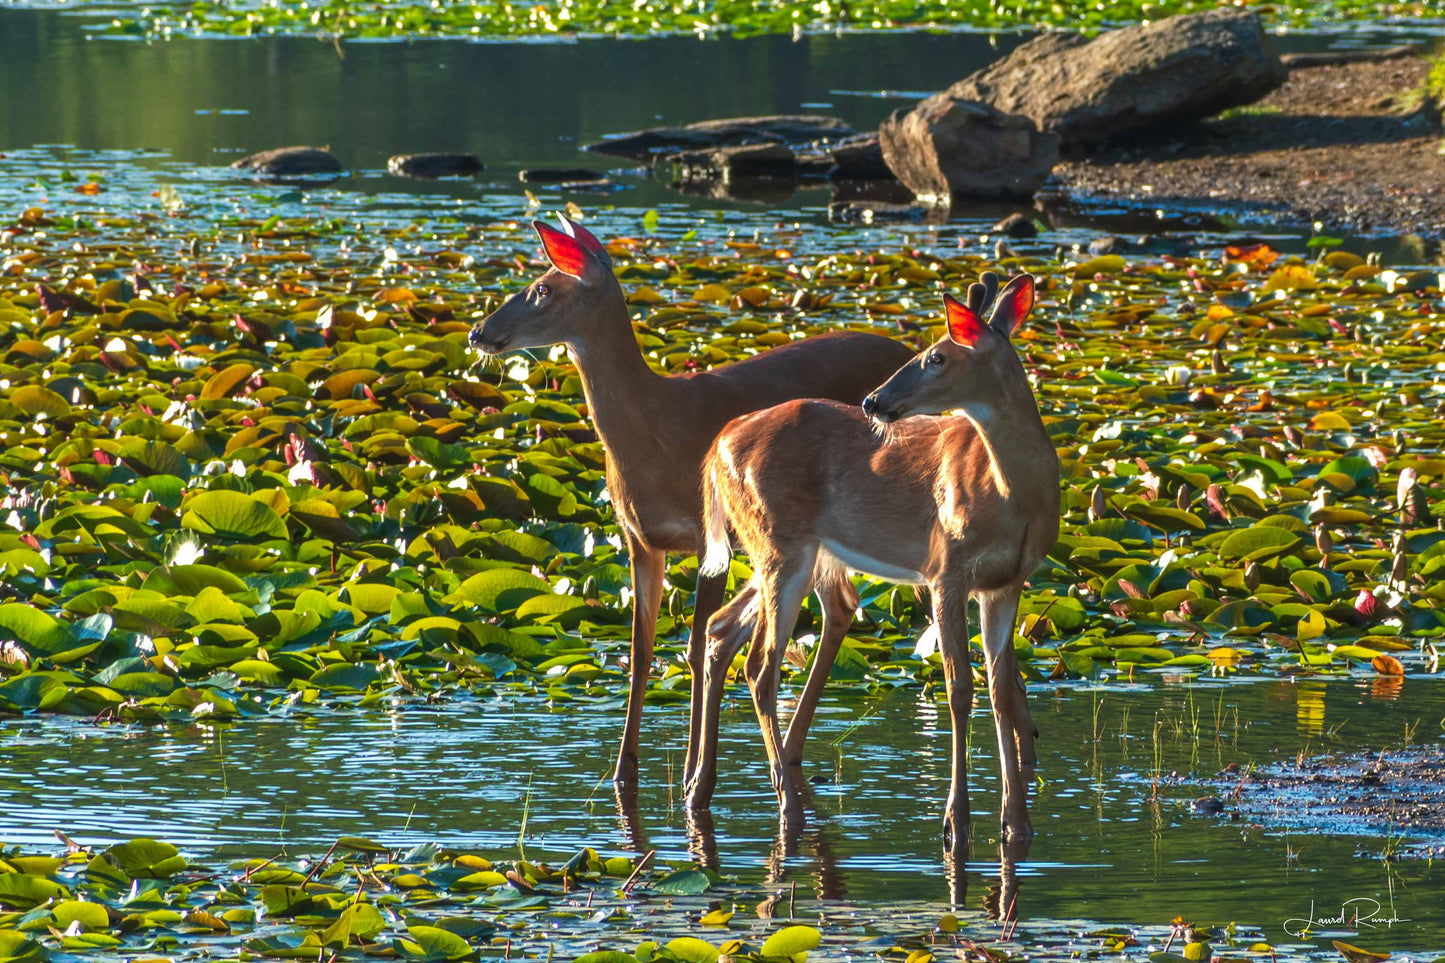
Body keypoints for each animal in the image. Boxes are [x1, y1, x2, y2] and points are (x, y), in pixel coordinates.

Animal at [468, 216, 917, 789]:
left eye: (543, 288)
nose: (478, 333)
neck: (657, 432)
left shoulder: (709, 539)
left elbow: (694, 645)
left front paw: (691, 771)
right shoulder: (638, 538)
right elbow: (641, 651)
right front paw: (624, 770)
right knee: (837, 607)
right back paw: (791, 753)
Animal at [690, 273, 1058, 848]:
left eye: (936, 357)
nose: (873, 400)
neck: (1014, 497)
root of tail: (717, 444)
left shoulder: (1006, 583)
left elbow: (1001, 690)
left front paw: (1016, 824)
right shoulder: (945, 569)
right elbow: (959, 688)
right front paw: (956, 823)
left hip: (788, 550)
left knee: (721, 629)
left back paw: (701, 792)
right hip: (779, 545)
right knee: (761, 665)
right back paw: (788, 809)